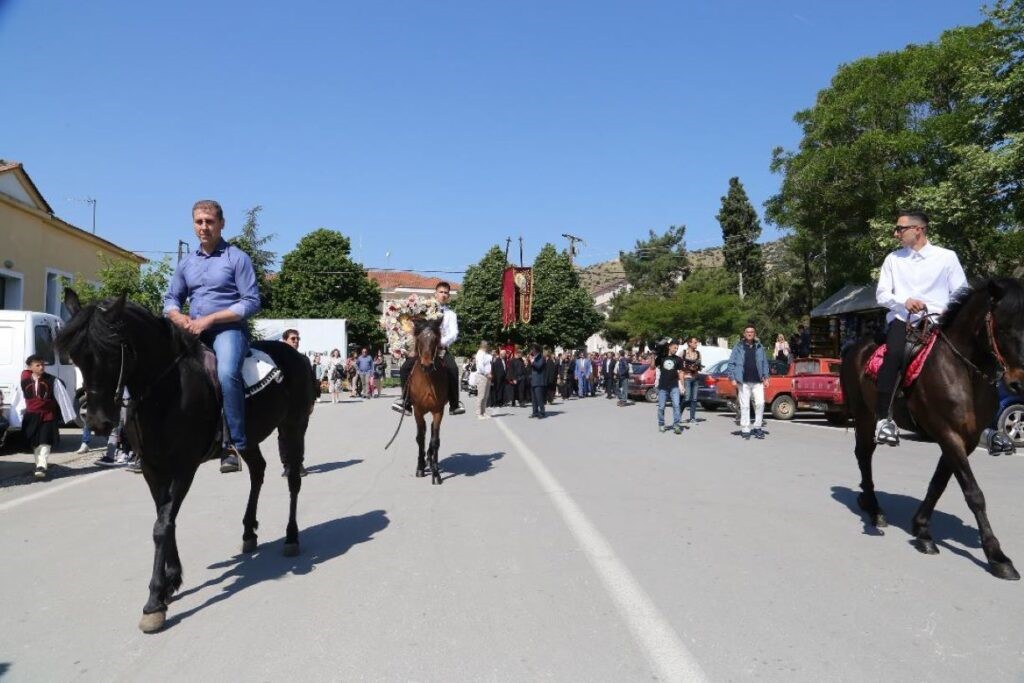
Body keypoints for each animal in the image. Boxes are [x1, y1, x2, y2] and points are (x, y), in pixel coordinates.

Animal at [58, 288, 313, 630]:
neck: (165, 391)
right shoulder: (152, 468)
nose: (97, 421)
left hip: (293, 426)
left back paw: (291, 537)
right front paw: (171, 581)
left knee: (294, 479)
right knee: (258, 471)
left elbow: (162, 525)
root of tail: (296, 355)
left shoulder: (183, 467)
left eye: (112, 351)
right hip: (248, 436)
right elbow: (164, 518)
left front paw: (154, 601)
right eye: (74, 355)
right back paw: (249, 532)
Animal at [839, 278, 1024, 581]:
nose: (1019, 383)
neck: (963, 371)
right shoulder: (948, 433)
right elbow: (974, 494)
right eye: (1004, 328)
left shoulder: (965, 439)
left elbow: (939, 483)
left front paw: (922, 530)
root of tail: (854, 347)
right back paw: (874, 509)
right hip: (865, 416)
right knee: (864, 456)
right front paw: (997, 556)